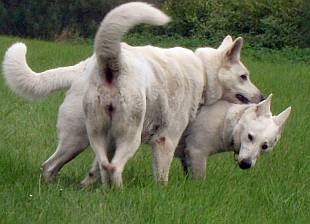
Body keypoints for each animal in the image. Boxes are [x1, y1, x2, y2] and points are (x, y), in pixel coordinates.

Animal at [3, 2, 264, 186]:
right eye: (244, 76)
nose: (262, 97)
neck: (202, 70)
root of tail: (101, 64)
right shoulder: (165, 140)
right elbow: (162, 178)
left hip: (87, 137)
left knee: (57, 166)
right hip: (123, 137)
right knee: (111, 167)